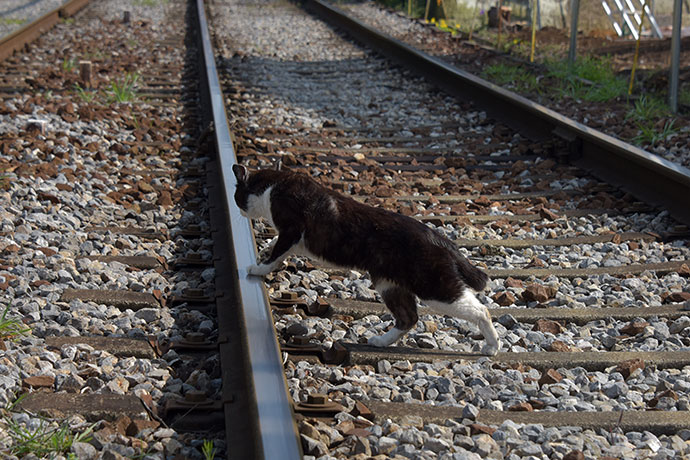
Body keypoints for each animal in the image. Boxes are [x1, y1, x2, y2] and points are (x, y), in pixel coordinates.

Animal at [234, 164, 498, 356]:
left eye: (237, 196)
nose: (239, 212)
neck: (274, 186)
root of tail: (441, 240)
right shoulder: (290, 236)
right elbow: (275, 246)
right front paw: (264, 251)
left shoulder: (291, 230)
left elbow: (276, 254)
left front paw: (257, 269)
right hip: (389, 284)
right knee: (408, 317)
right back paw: (380, 341)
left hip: (434, 286)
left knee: (480, 310)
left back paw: (492, 347)